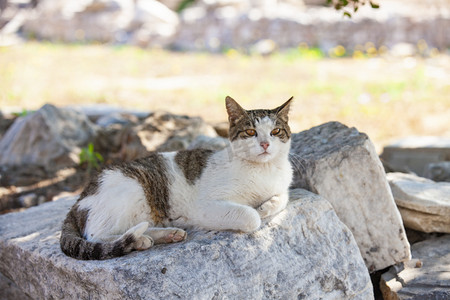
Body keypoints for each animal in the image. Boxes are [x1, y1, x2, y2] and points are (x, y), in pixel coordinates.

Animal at [61, 96, 294, 260]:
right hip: (129, 192)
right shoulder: (205, 208)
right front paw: (258, 211)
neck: (264, 171)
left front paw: (266, 206)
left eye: (275, 131)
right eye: (250, 132)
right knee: (99, 235)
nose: (265, 144)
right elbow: (252, 217)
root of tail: (78, 200)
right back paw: (139, 240)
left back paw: (166, 234)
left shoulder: (281, 187)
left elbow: (283, 198)